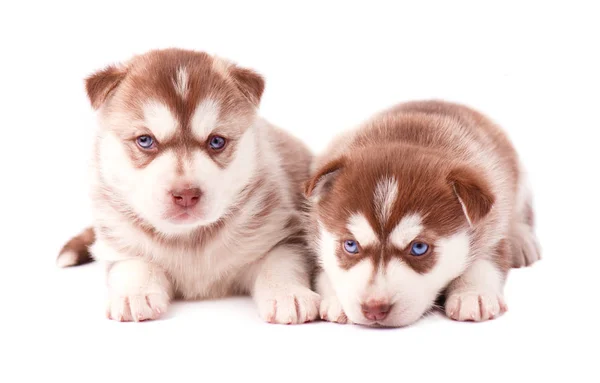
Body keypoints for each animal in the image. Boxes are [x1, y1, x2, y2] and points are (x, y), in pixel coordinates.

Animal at [56, 47, 322, 324]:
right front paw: (135, 294)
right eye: (145, 140)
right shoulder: (117, 241)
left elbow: (279, 263)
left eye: (216, 141)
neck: (188, 239)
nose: (185, 195)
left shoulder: (282, 232)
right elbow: (133, 264)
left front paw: (287, 294)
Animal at [304, 100, 540, 328]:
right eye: (351, 245)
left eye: (418, 248)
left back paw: (522, 239)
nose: (374, 308)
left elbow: (486, 260)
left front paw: (473, 293)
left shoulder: (493, 223)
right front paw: (337, 298)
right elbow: (323, 271)